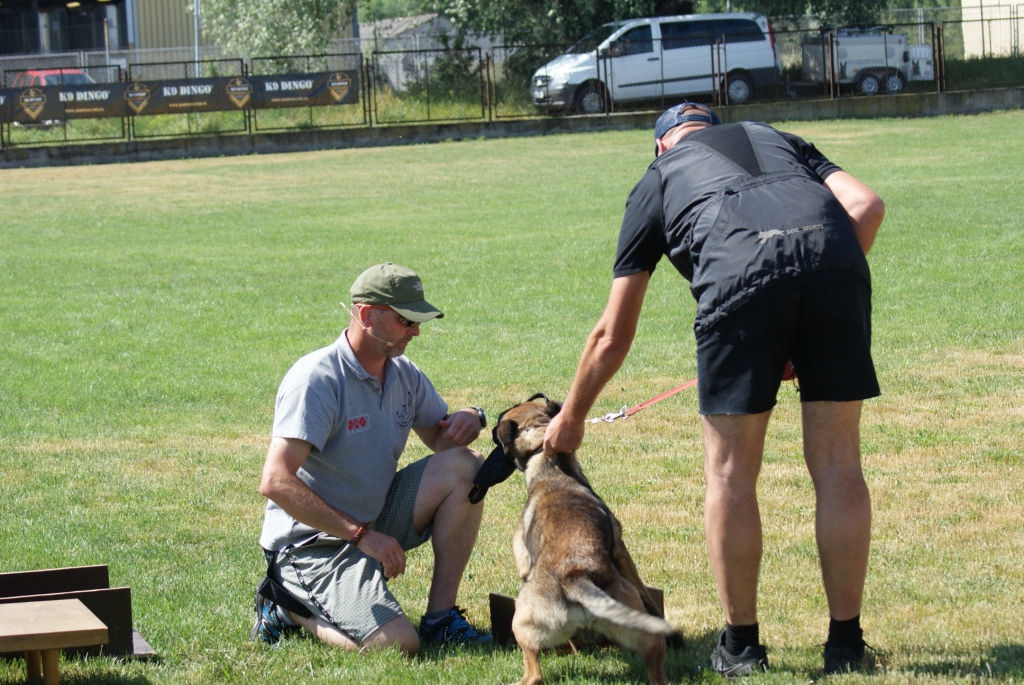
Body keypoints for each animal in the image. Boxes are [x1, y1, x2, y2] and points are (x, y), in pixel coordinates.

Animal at [499, 395, 675, 683]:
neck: (552, 467)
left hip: (522, 623)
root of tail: (575, 574)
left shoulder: (523, 562)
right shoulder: (621, 551)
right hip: (641, 632)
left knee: (534, 674)